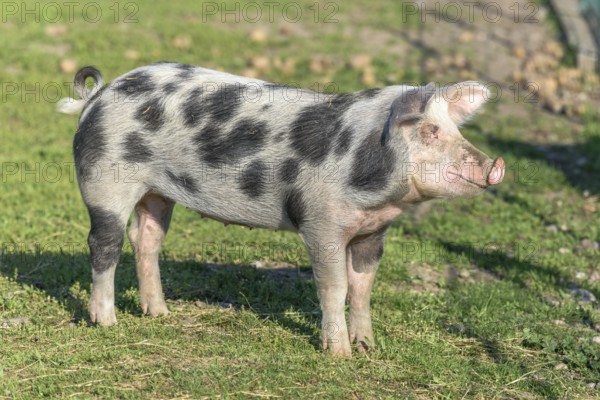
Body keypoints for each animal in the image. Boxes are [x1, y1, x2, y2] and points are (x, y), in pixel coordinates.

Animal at [58, 62, 504, 356]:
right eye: (430, 131)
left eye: (455, 129)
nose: (495, 165)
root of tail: (98, 95)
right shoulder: (321, 222)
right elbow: (335, 287)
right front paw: (339, 355)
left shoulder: (374, 231)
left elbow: (363, 287)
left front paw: (368, 347)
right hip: (104, 182)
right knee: (104, 244)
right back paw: (106, 321)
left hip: (157, 193)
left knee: (145, 238)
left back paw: (160, 314)